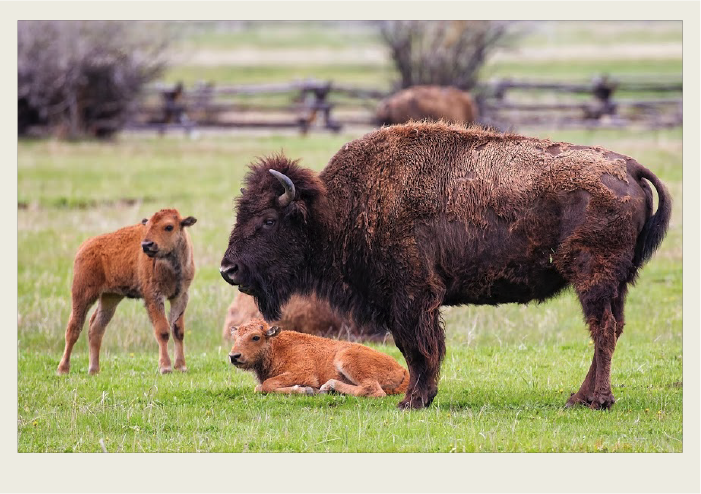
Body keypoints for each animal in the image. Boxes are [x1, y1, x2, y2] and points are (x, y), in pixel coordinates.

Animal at [220, 122, 670, 410]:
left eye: (269, 220)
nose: (229, 270)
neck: (336, 206)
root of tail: (628, 166)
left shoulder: (410, 298)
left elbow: (418, 348)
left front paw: (413, 401)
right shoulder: (407, 303)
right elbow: (420, 349)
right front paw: (421, 397)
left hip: (593, 278)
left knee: (603, 330)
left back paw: (595, 401)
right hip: (615, 284)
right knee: (611, 328)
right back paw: (580, 398)